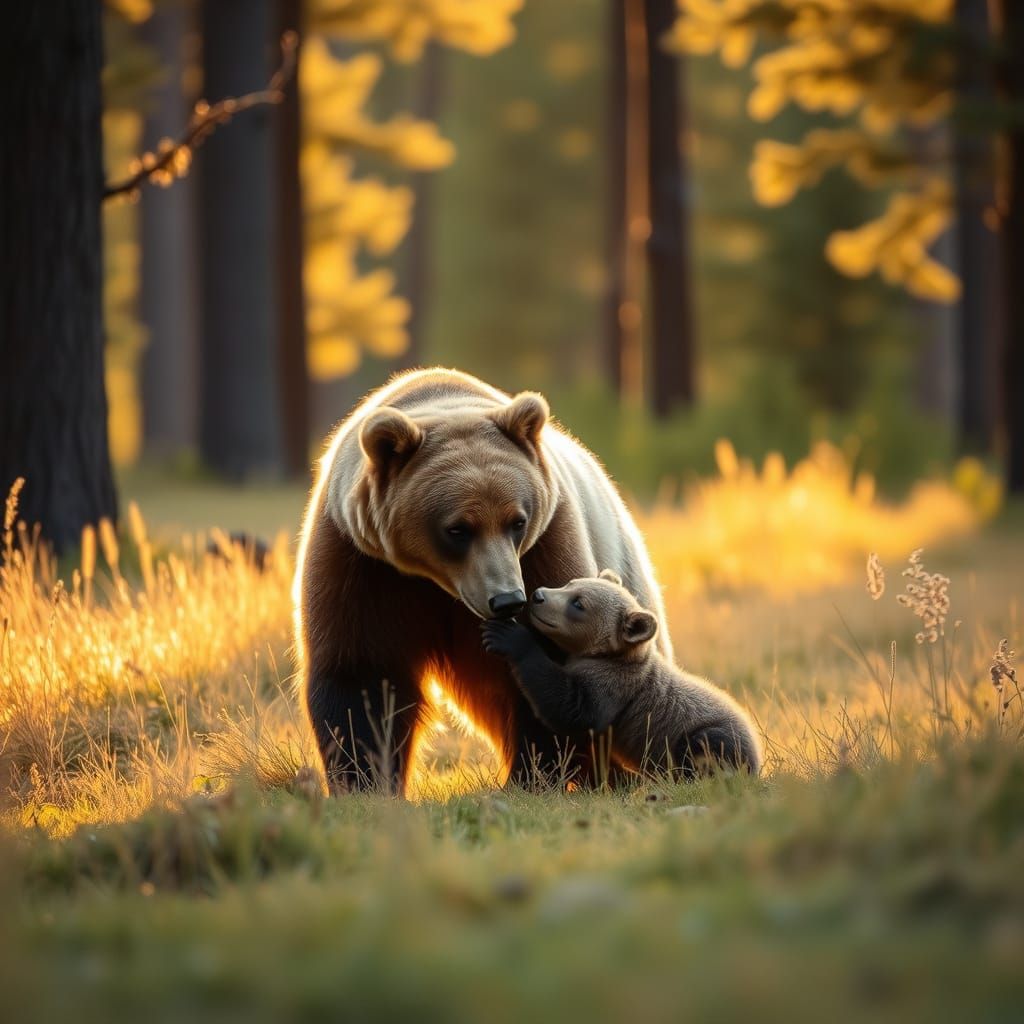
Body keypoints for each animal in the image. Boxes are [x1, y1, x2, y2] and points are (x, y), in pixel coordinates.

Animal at [294, 368, 671, 794]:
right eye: (458, 529)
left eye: (517, 521)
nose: (507, 599)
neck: (437, 583)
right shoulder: (361, 565)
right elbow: (361, 673)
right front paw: (366, 780)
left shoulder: (546, 545)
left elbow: (548, 673)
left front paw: (532, 774)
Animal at [480, 570, 762, 779]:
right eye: (570, 583)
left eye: (578, 604)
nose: (538, 595)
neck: (609, 656)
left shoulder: (612, 685)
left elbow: (573, 710)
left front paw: (509, 636)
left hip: (711, 737)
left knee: (704, 751)